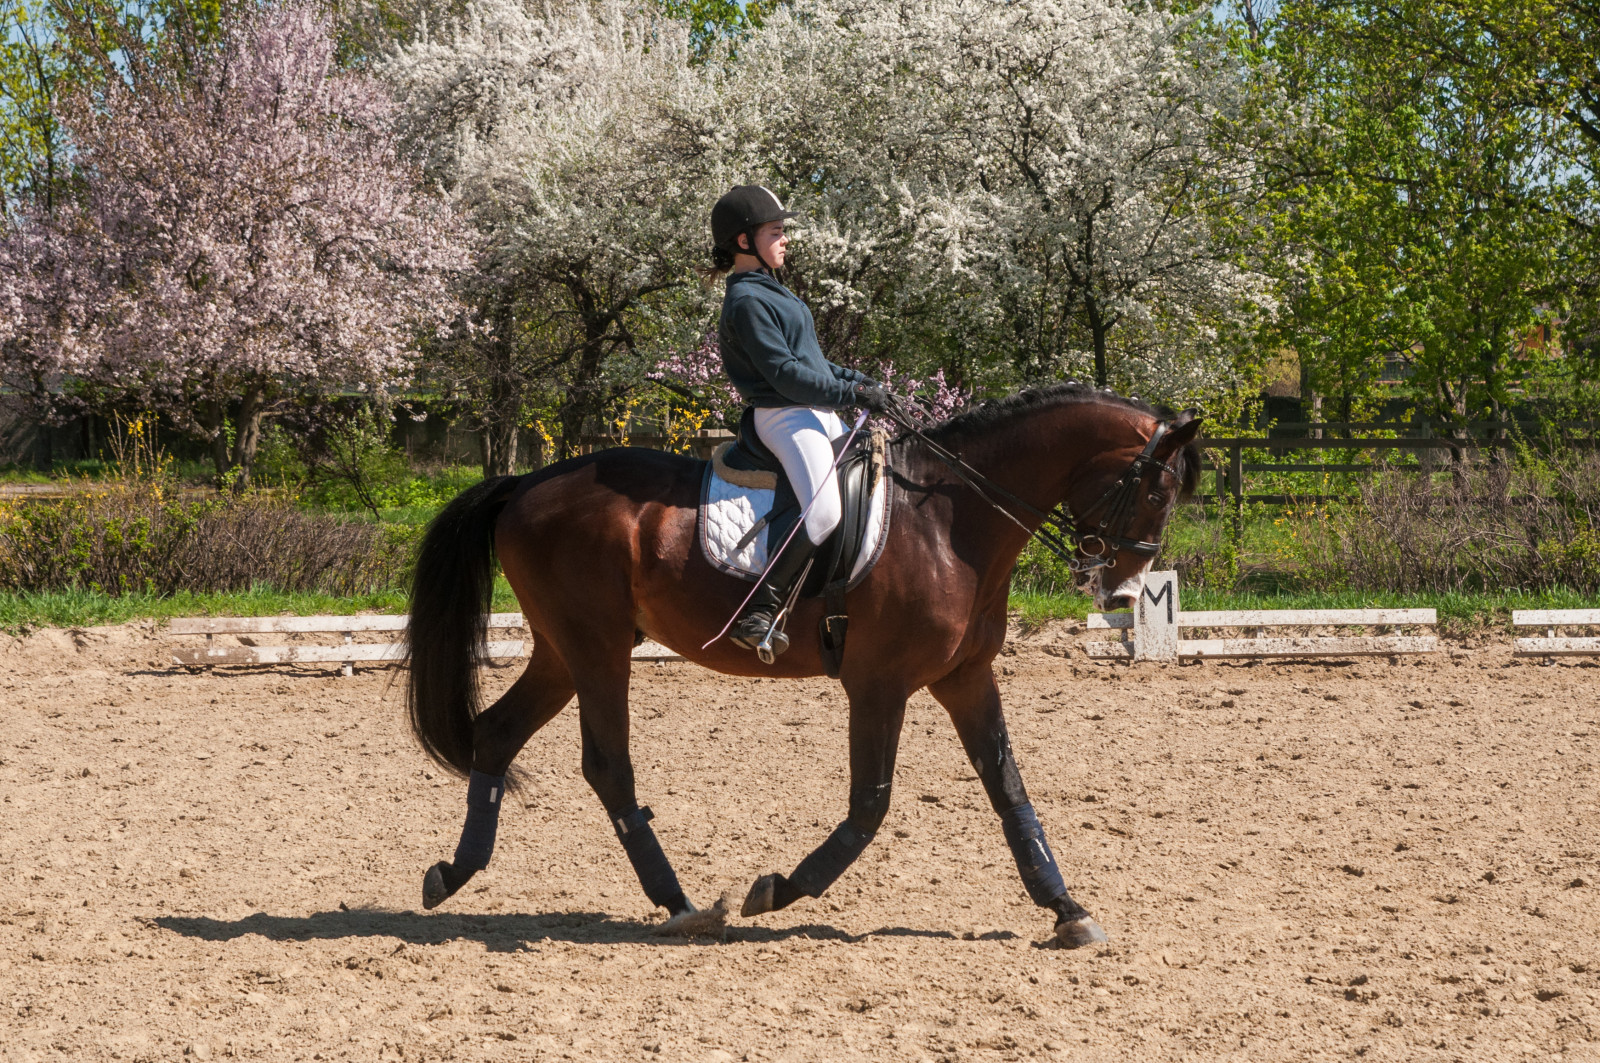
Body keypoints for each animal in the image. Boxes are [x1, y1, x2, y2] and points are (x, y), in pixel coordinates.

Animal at [400, 382, 1203, 947]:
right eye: (1157, 489)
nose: (1124, 592)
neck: (950, 523)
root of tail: (525, 484)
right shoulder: (879, 684)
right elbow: (871, 805)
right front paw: (778, 889)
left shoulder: (964, 677)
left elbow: (1008, 787)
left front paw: (1067, 908)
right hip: (594, 648)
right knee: (606, 766)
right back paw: (681, 904)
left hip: (565, 650)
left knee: (497, 733)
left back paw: (453, 873)